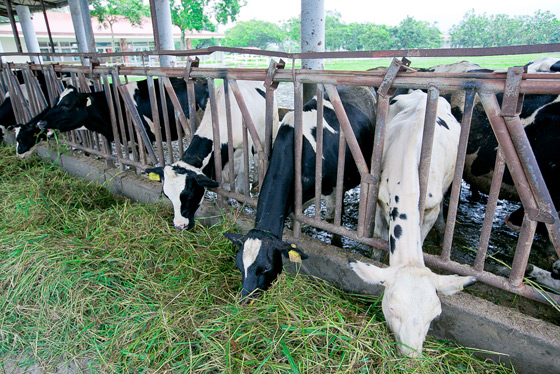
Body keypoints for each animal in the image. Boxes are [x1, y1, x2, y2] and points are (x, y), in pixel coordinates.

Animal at [147, 80, 280, 231]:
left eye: (189, 196)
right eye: (167, 196)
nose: (180, 226)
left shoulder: (243, 155)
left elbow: (240, 190)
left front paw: (240, 208)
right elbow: (224, 188)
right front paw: (226, 202)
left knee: (260, 159)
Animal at [223, 85, 376, 300]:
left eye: (266, 267)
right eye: (239, 266)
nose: (245, 299)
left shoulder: (333, 189)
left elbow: (334, 221)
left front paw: (337, 244)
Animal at [352, 89, 474, 358]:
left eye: (435, 315)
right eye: (393, 309)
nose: (412, 357)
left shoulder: (430, 208)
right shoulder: (380, 201)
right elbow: (378, 239)